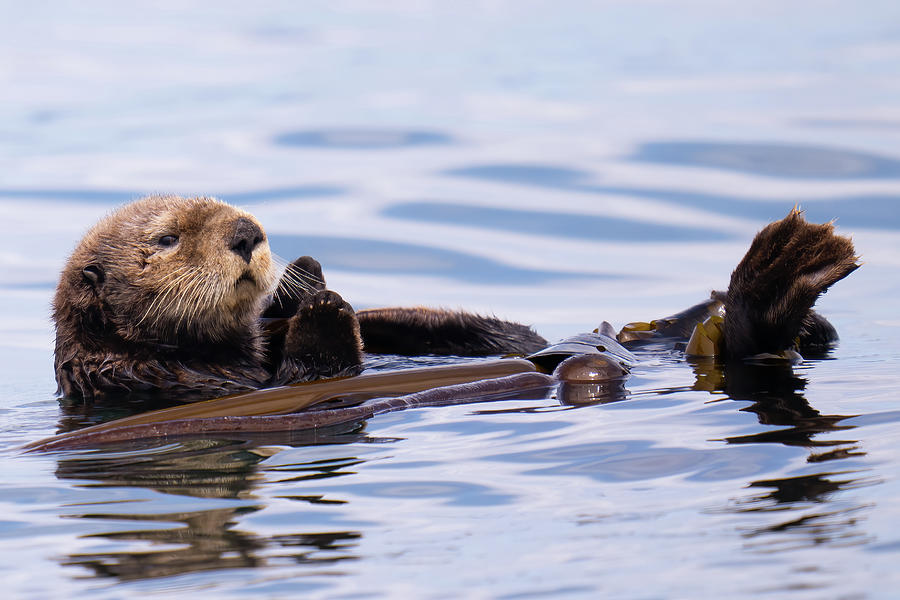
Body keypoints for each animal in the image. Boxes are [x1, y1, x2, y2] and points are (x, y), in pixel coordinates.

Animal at [52, 197, 860, 400]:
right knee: (749, 343)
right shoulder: (166, 381)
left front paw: (308, 280)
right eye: (165, 238)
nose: (250, 234)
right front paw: (322, 310)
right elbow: (317, 375)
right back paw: (787, 272)